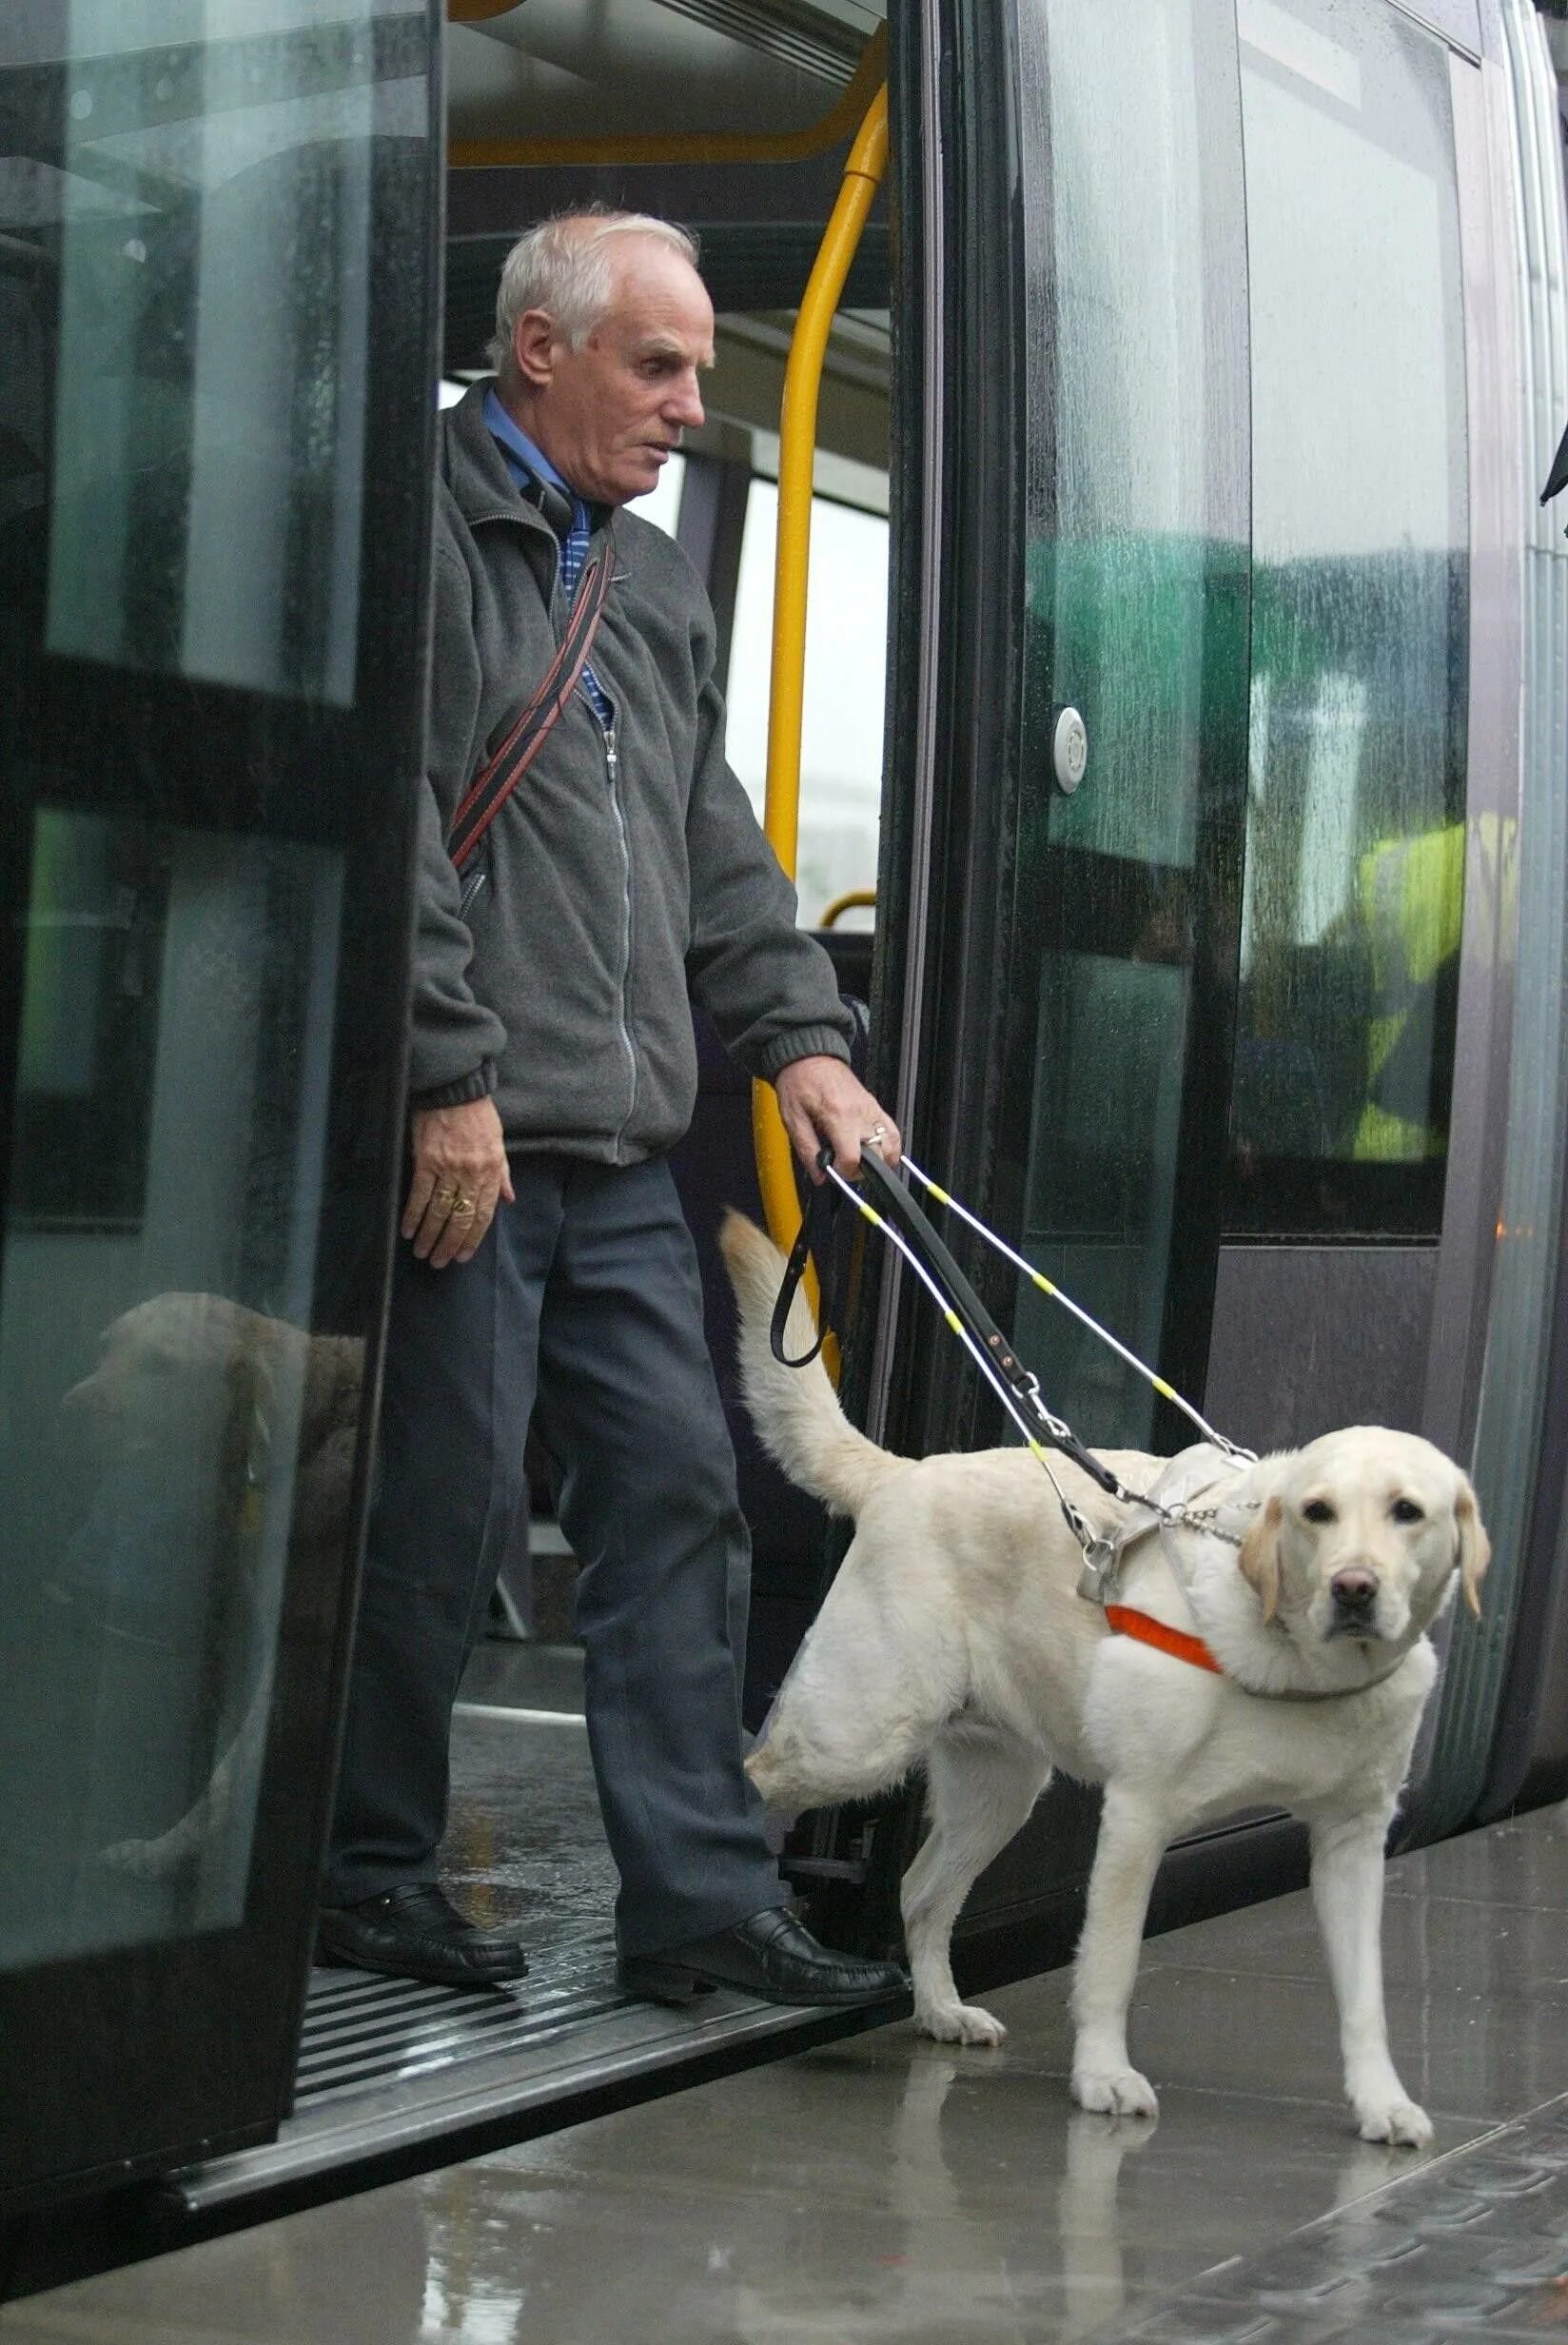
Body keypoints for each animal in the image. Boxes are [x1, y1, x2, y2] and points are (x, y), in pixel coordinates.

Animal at [721, 1219, 1480, 2148]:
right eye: (1317, 1513)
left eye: (1408, 1512)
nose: (1355, 1589)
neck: (1303, 1671)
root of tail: (904, 1471)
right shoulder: (1139, 1815)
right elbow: (1111, 1964)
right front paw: (1103, 2078)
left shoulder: (1353, 1843)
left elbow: (1365, 1997)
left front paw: (1380, 2101)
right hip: (856, 1735)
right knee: (752, 1776)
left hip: (999, 1786)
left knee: (920, 1890)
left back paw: (941, 2011)